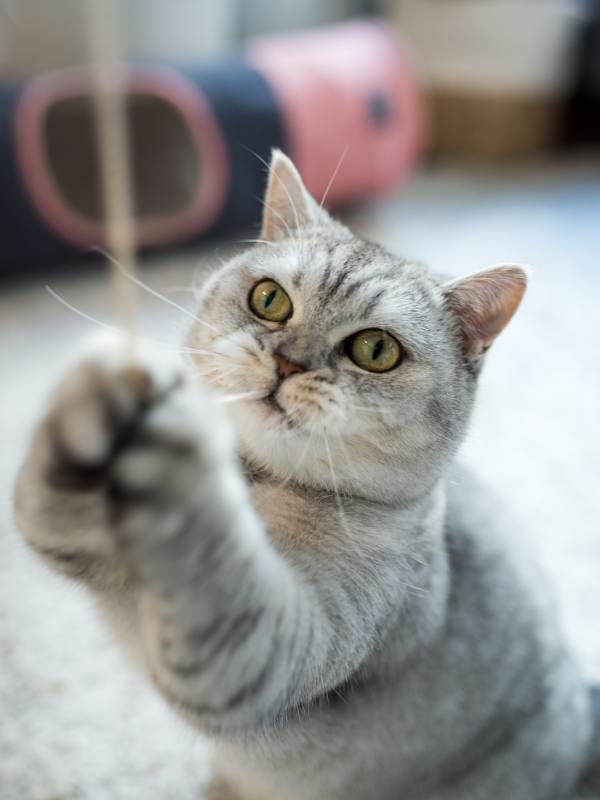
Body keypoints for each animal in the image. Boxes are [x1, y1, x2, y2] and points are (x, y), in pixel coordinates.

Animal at [14, 152, 600, 800]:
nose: (288, 363)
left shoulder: (269, 652)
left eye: (375, 350)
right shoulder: (77, 541)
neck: (252, 481)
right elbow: (46, 508)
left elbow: (216, 568)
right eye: (270, 300)